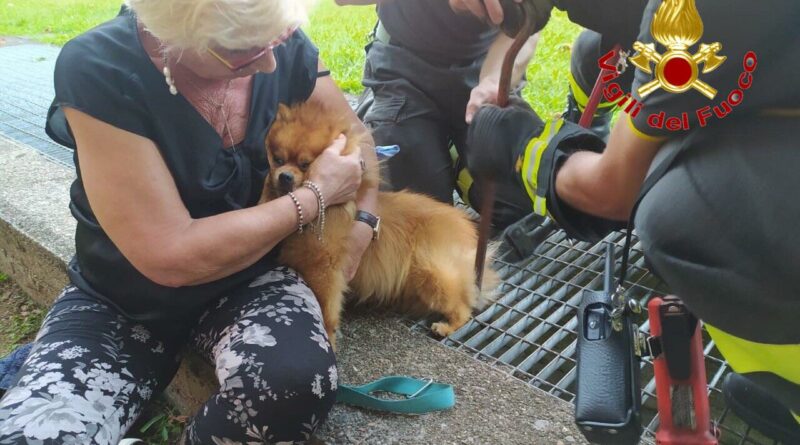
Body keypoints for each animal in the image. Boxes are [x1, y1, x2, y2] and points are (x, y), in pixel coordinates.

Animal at [260, 100, 496, 346]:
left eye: (305, 164)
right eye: (277, 159)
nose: (284, 176)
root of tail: (464, 226)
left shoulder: (326, 271)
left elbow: (327, 310)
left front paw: (329, 336)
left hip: (431, 272)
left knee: (462, 306)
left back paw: (447, 327)